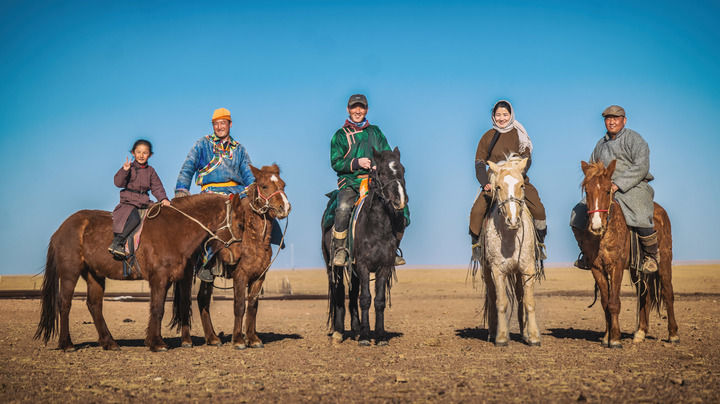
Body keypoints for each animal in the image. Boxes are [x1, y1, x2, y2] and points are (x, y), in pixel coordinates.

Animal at [33, 188, 246, 352]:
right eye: (241, 224)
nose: (238, 257)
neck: (175, 229)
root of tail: (61, 229)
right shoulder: (159, 279)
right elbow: (157, 308)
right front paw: (157, 343)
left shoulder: (170, 279)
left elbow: (161, 307)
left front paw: (153, 340)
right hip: (70, 273)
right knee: (64, 304)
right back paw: (67, 343)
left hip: (94, 275)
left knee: (94, 305)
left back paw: (109, 343)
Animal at [194, 164, 292, 350]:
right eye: (264, 186)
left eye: (283, 185)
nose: (285, 207)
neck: (252, 238)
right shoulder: (240, 275)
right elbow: (239, 305)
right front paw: (238, 340)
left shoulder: (259, 276)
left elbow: (253, 305)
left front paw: (253, 339)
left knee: (203, 299)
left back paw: (212, 338)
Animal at [576, 160, 676, 348]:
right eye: (587, 191)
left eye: (608, 191)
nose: (596, 226)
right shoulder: (596, 268)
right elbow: (605, 303)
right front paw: (606, 337)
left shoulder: (616, 267)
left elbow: (614, 302)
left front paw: (615, 339)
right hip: (637, 268)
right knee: (645, 296)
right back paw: (640, 333)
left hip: (665, 262)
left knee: (668, 293)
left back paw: (673, 334)